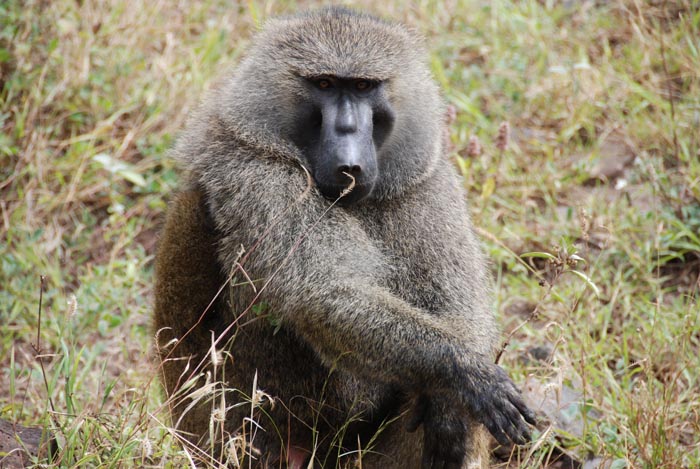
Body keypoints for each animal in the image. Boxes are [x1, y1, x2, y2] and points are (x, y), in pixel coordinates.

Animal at [154, 7, 535, 469]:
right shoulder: (258, 173)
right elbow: (322, 293)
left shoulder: (424, 180)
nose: (349, 141)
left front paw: (452, 400)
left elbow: (461, 306)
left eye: (363, 86)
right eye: (323, 84)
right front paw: (463, 372)